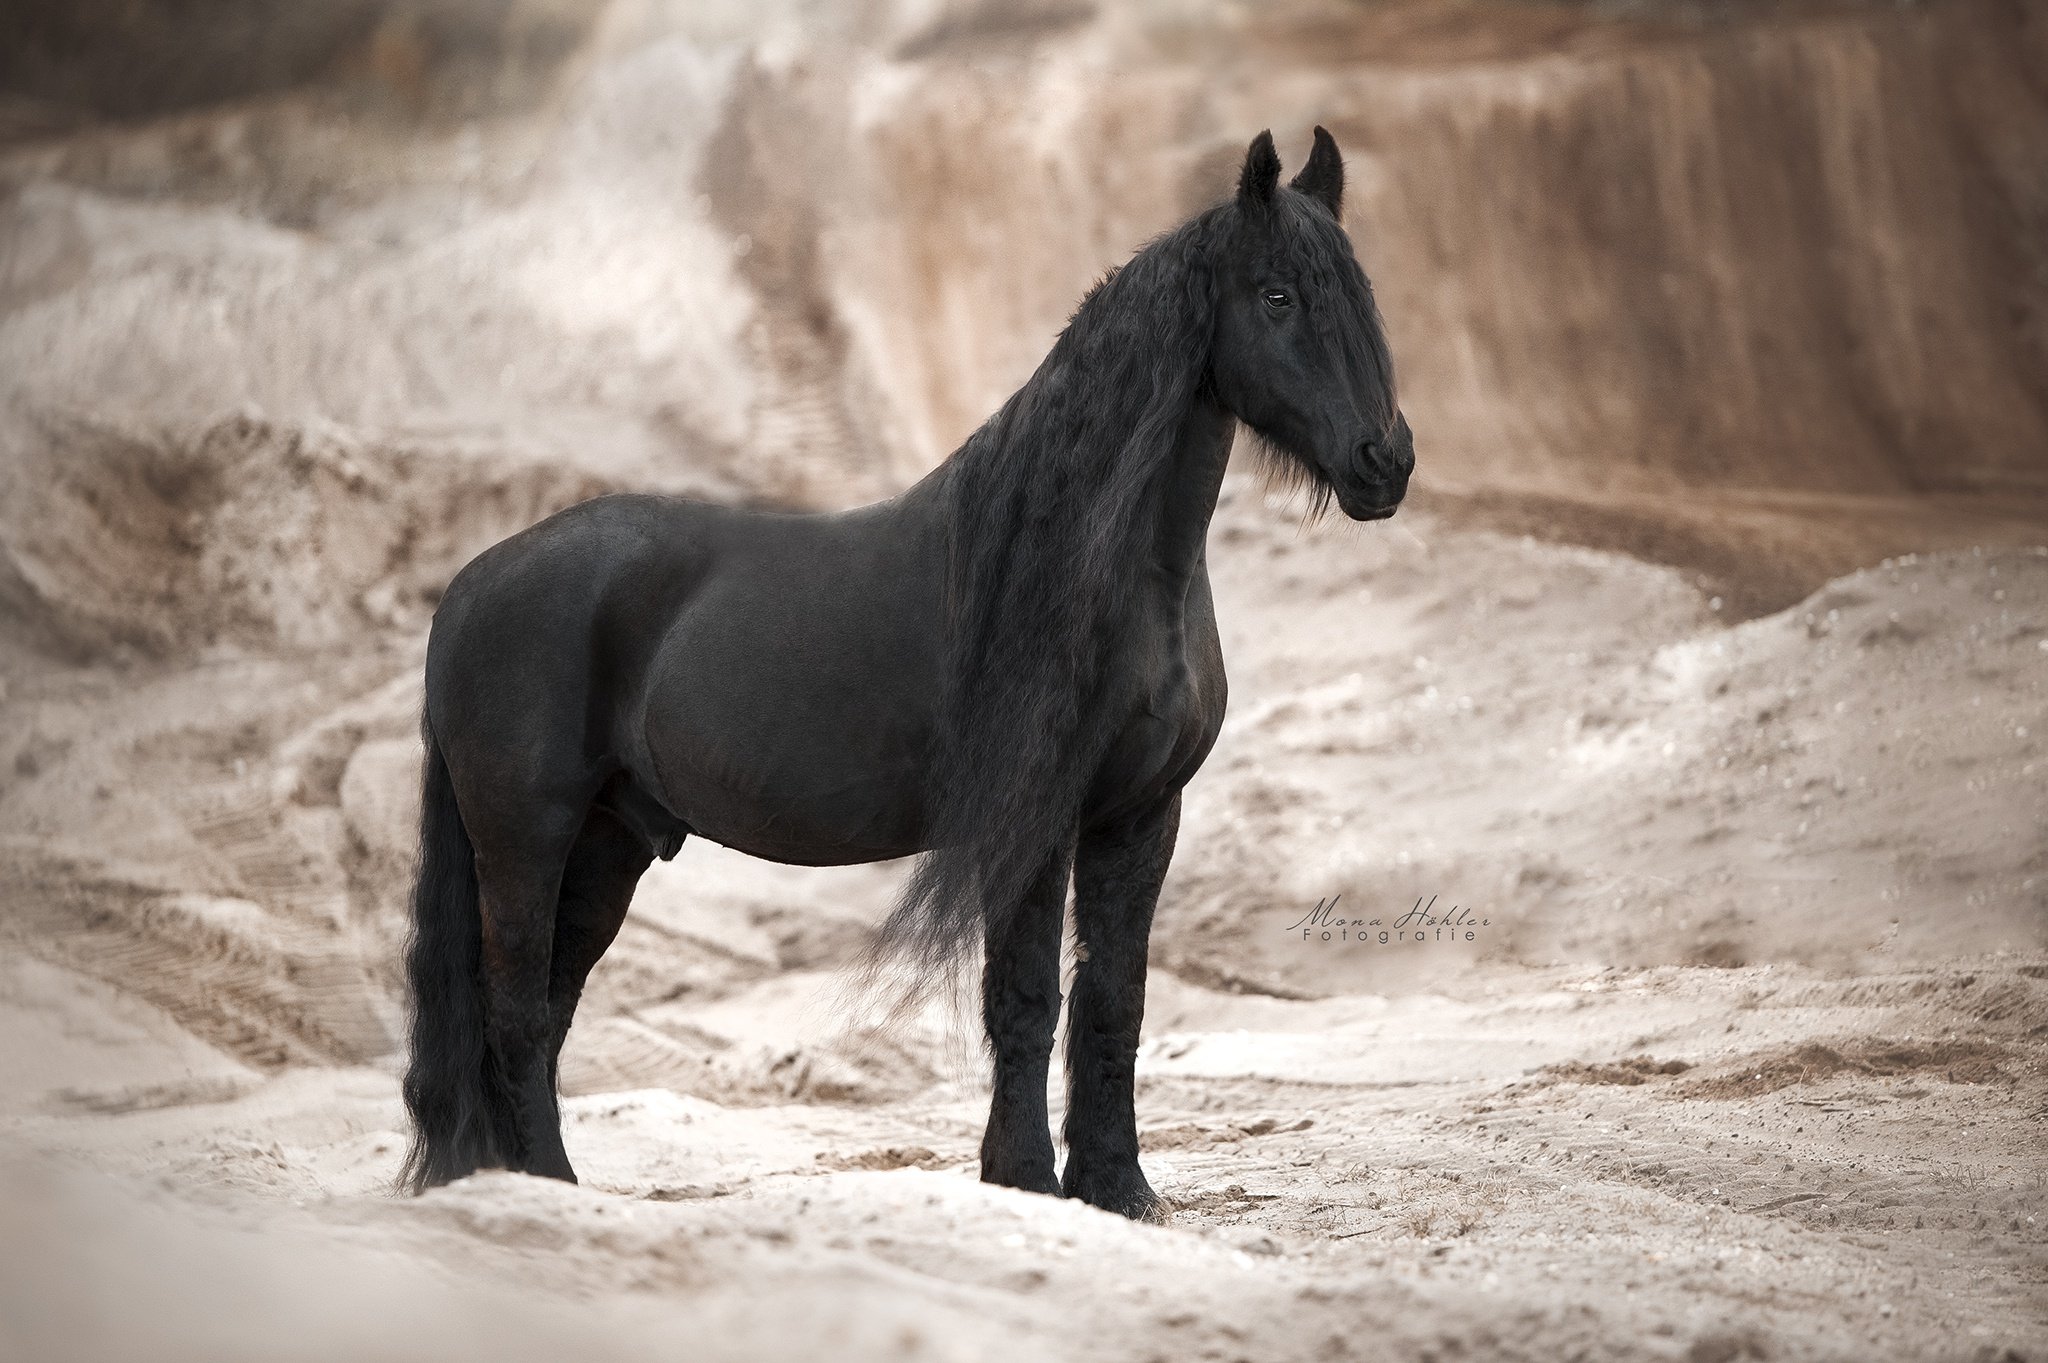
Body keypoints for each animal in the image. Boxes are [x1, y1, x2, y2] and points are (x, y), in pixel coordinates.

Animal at [407, 124, 1417, 1211]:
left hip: (607, 841)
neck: (1096, 564)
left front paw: (1117, 1190)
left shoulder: (1141, 816)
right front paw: (1023, 1179)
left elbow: (1115, 999)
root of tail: (470, 587)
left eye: (1358, 293)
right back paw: (545, 1188)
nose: (1385, 462)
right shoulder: (1033, 819)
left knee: (548, 1004)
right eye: (1276, 296)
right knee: (514, 1006)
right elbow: (1025, 996)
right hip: (526, 836)